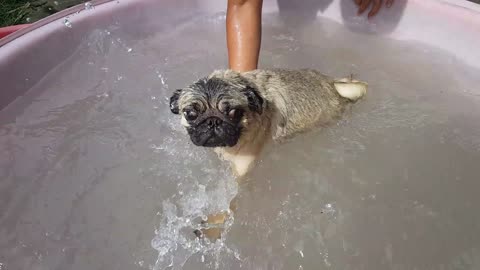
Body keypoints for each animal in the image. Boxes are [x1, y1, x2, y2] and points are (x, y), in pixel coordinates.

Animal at [169, 68, 368, 239]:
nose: (212, 121)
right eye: (190, 114)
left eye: (234, 112)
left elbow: (230, 202)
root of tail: (333, 84)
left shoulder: (242, 171)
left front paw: (214, 225)